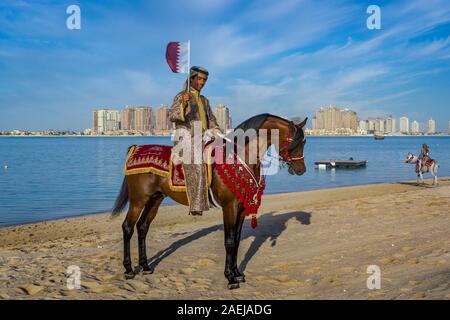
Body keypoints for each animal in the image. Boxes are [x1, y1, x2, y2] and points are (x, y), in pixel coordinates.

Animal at [111, 114, 308, 288]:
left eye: (304, 142)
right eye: (295, 142)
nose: (301, 170)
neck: (239, 157)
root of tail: (136, 148)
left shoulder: (241, 209)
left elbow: (237, 240)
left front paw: (237, 273)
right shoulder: (229, 207)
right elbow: (229, 241)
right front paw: (230, 277)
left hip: (155, 200)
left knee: (142, 227)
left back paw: (145, 266)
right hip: (138, 201)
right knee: (128, 227)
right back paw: (129, 269)